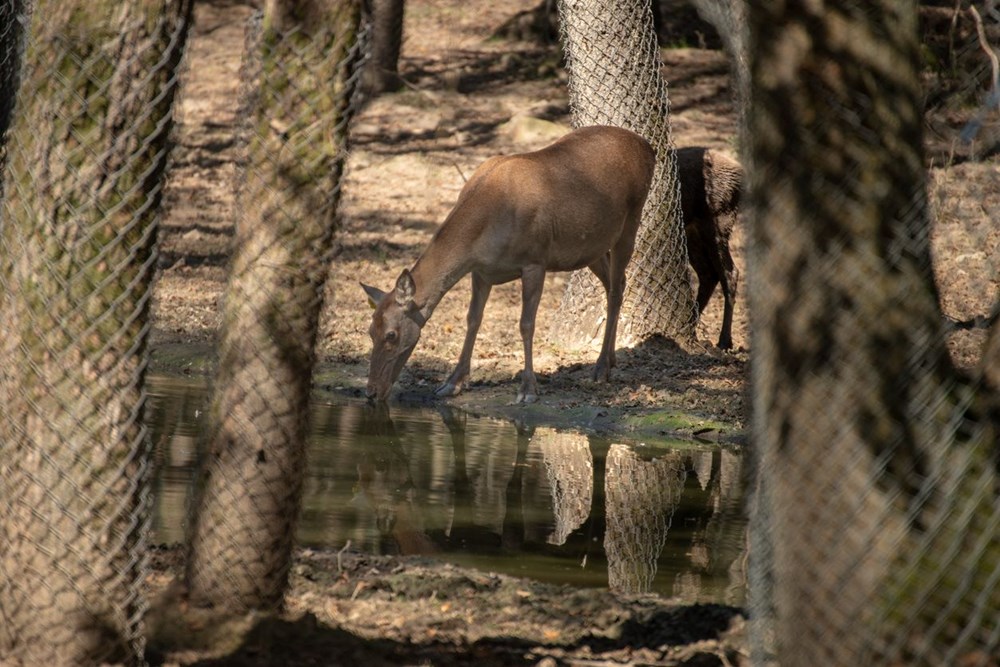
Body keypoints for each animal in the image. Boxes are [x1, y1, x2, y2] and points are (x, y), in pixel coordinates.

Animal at [362, 128, 656, 404]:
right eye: (369, 331)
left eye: (391, 334)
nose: (372, 392)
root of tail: (648, 147)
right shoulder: (481, 272)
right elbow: (473, 319)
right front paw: (452, 383)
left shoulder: (535, 260)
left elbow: (526, 324)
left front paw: (528, 389)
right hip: (590, 246)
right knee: (615, 283)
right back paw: (611, 358)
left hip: (632, 217)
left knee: (617, 288)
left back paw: (601, 368)